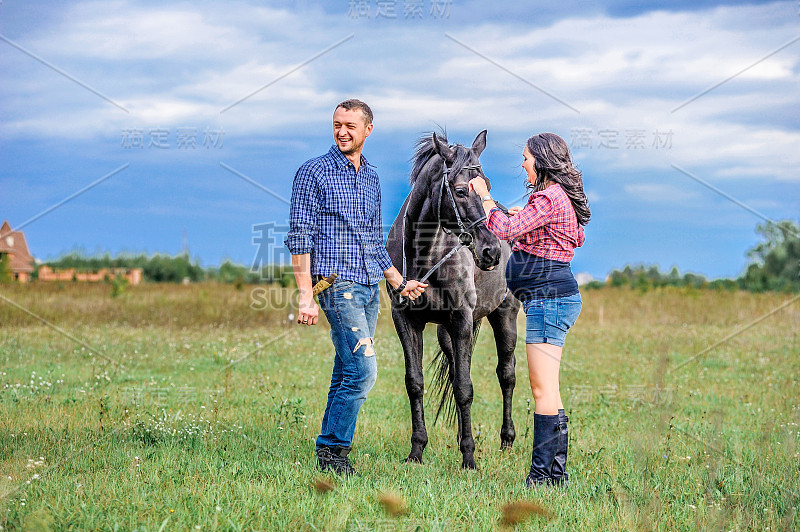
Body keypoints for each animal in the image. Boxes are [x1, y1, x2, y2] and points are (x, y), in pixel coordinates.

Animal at [386, 131, 520, 468]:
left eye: (487, 184)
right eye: (460, 190)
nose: (491, 252)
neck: (426, 255)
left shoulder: (461, 318)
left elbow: (464, 387)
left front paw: (468, 458)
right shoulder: (406, 320)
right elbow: (416, 383)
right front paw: (417, 451)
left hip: (504, 315)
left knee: (507, 374)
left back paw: (507, 441)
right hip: (448, 332)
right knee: (459, 366)